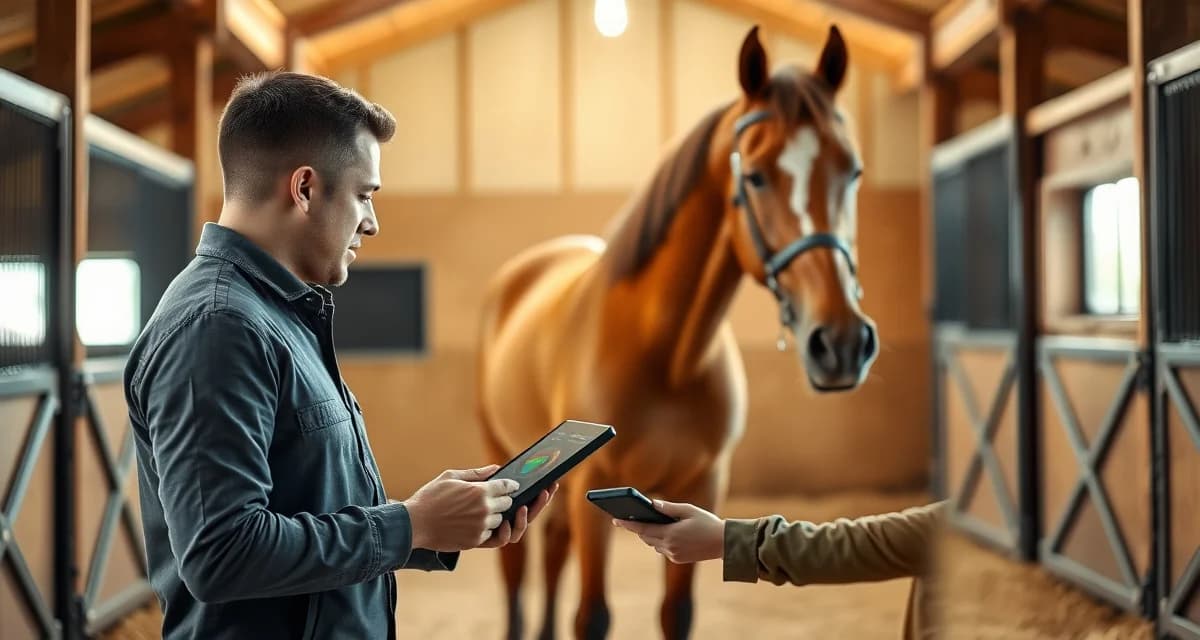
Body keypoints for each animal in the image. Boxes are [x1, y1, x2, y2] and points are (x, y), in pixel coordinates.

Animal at [475, 24, 878, 639]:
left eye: (851, 171)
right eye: (755, 176)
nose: (842, 344)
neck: (666, 354)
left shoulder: (702, 487)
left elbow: (676, 612)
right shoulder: (592, 489)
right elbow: (591, 616)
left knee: (552, 550)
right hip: (503, 455)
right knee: (517, 572)